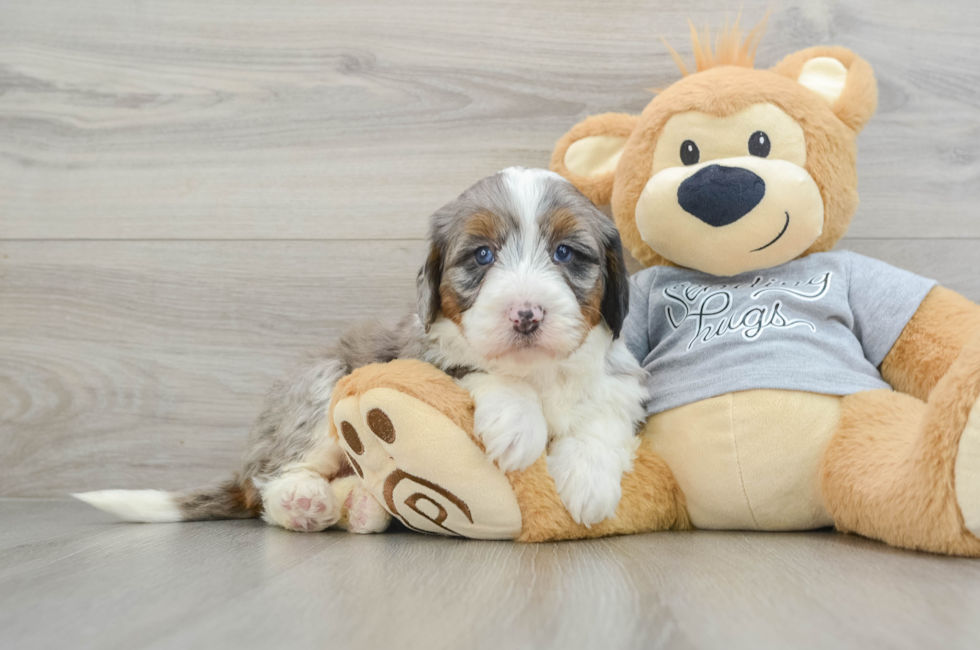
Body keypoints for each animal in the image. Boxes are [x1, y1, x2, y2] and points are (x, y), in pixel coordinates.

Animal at [74, 166, 644, 528]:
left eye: (565, 252)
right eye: (482, 255)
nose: (526, 314)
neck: (538, 371)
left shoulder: (617, 377)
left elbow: (604, 414)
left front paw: (589, 482)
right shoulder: (422, 354)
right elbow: (478, 371)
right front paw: (518, 425)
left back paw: (366, 507)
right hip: (322, 384)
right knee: (268, 484)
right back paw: (303, 502)